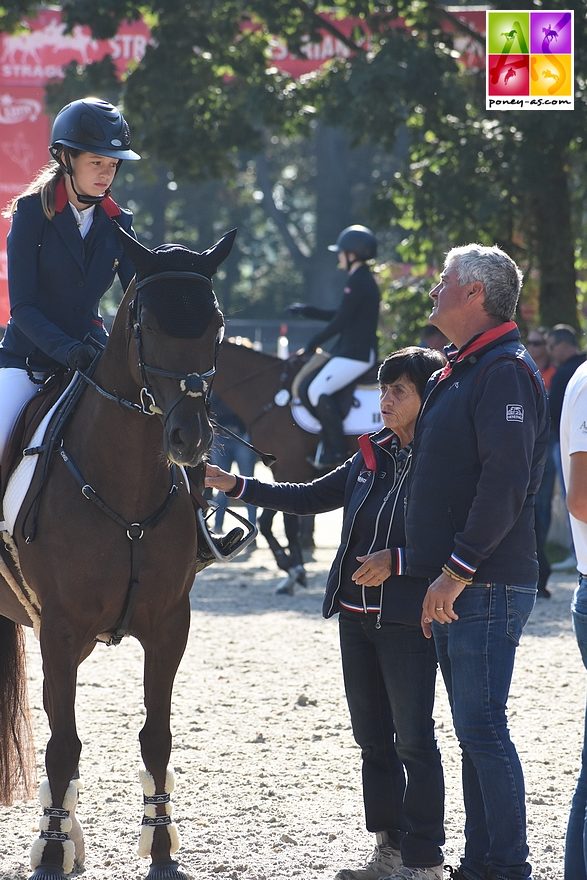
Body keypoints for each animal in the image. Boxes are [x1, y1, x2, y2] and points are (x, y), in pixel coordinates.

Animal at [0, 227, 234, 880]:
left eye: (216, 325)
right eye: (147, 324)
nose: (189, 438)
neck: (125, 482)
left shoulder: (168, 625)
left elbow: (155, 737)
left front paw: (160, 848)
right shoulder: (58, 626)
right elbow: (62, 744)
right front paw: (52, 854)